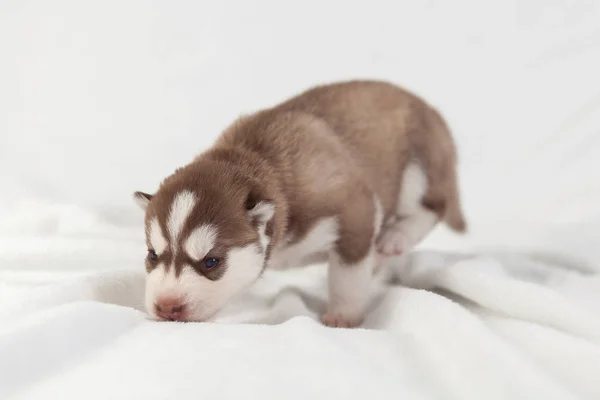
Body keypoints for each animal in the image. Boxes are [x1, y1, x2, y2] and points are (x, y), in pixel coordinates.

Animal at [134, 80, 466, 328]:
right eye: (152, 255)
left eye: (211, 262)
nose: (166, 306)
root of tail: (433, 111)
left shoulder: (353, 207)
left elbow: (348, 274)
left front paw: (343, 314)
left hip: (416, 167)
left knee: (431, 207)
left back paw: (395, 238)